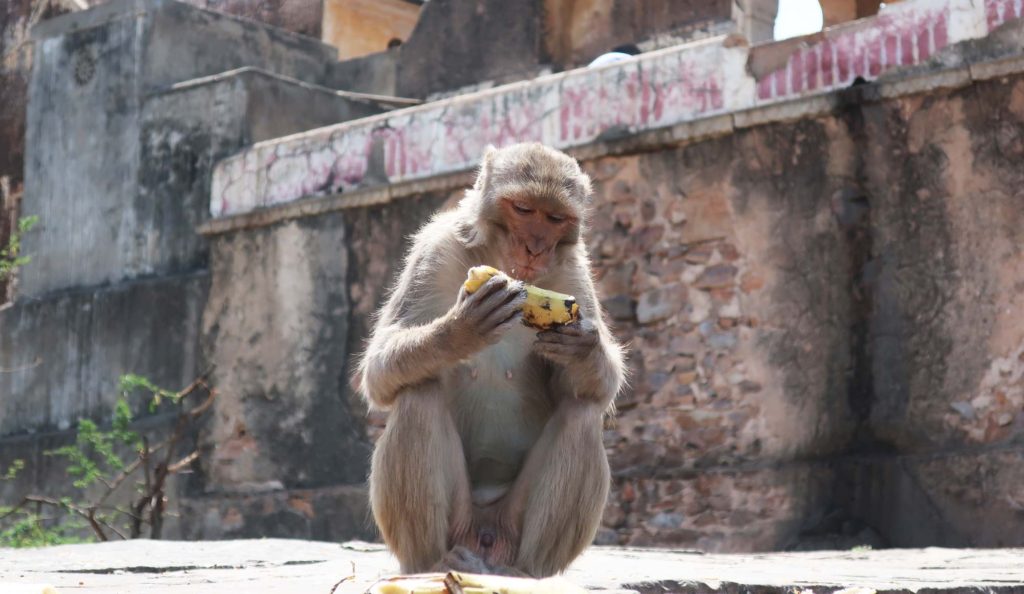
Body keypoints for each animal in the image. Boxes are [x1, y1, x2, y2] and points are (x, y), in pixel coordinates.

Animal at [357, 142, 626, 578]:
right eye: (523, 209)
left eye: (555, 218)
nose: (535, 247)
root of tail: (483, 539)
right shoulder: (434, 250)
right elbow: (378, 370)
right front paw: (460, 329)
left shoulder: (573, 273)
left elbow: (590, 391)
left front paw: (583, 344)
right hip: (460, 523)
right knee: (417, 399)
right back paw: (434, 563)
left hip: (508, 525)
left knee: (581, 415)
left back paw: (526, 571)